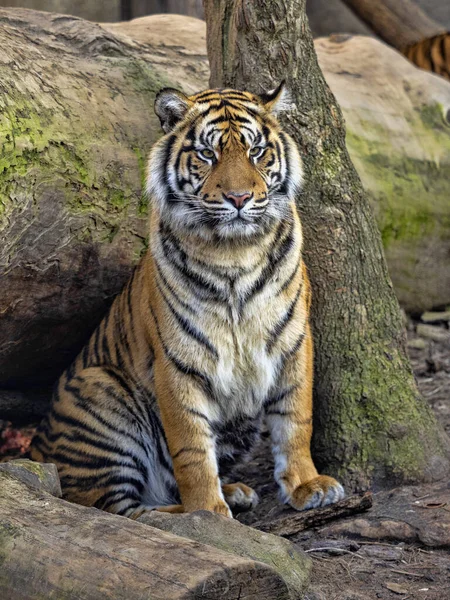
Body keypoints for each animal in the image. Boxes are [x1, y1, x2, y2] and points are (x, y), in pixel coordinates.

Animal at [29, 82, 342, 516]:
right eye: (208, 154)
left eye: (256, 152)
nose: (239, 198)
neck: (235, 252)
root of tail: (35, 451)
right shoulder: (178, 360)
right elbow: (191, 447)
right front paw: (208, 512)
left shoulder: (293, 341)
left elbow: (296, 419)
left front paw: (308, 485)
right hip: (102, 390)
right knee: (123, 508)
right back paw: (193, 509)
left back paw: (235, 491)